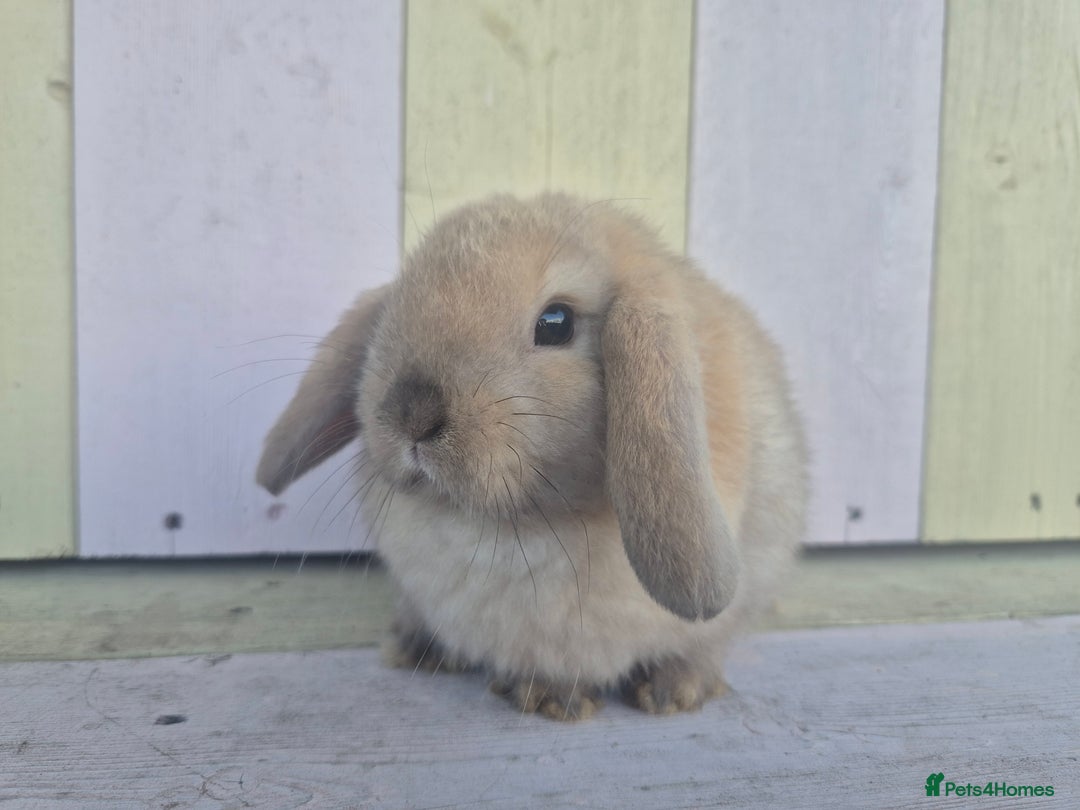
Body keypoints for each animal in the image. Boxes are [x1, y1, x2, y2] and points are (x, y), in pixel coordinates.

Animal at [257, 193, 808, 720]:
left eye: (557, 322)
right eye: (397, 307)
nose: (411, 412)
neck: (512, 526)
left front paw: (583, 697)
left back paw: (674, 689)